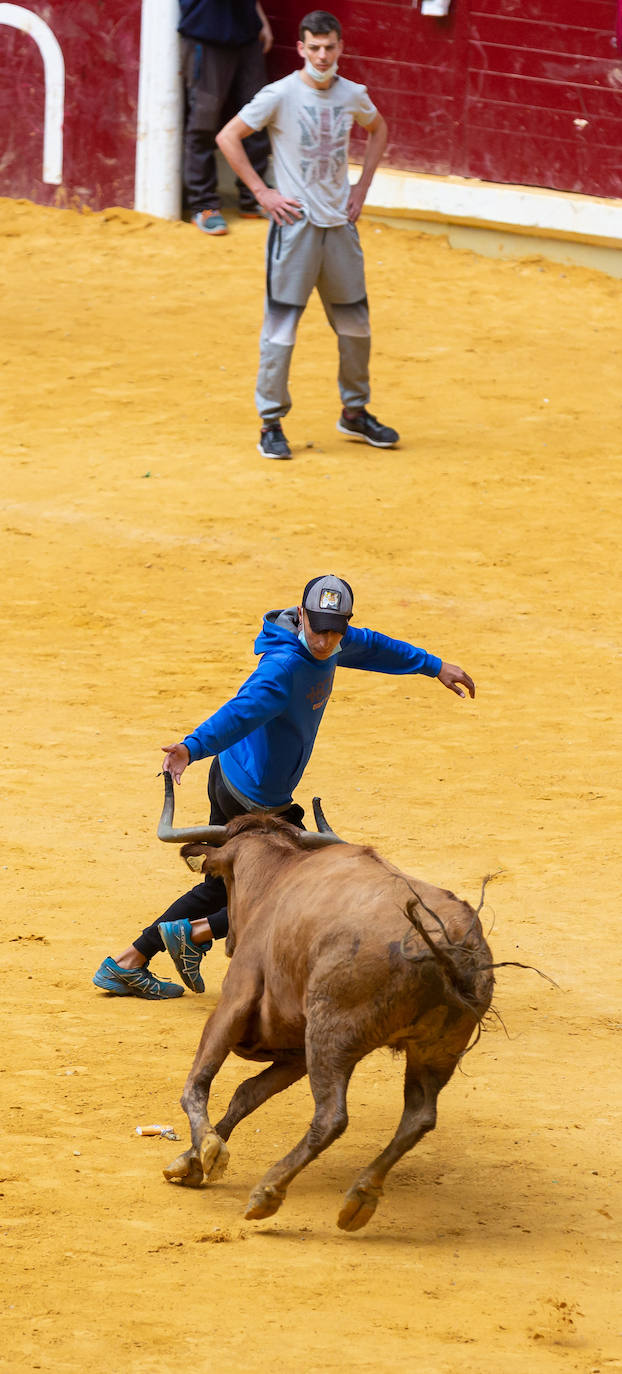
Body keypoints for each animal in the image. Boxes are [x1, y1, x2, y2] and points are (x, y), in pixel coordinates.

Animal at [159, 774, 494, 1236]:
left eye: (225, 880)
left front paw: (208, 1151)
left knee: (331, 1117)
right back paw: (360, 1198)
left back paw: (268, 1192)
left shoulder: (233, 1005)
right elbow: (246, 1094)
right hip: (436, 1050)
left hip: (331, 1035)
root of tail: (448, 944)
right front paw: (190, 1161)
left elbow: (198, 1084)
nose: (227, 942)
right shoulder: (295, 1051)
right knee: (419, 1117)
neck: (279, 876)